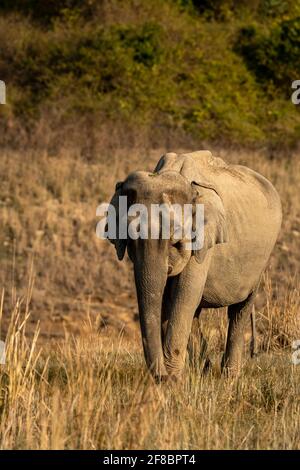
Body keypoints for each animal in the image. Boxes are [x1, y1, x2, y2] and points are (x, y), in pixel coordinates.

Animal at [106, 151, 282, 382]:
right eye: (130, 240)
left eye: (175, 241)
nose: (161, 377)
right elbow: (171, 299)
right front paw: (177, 378)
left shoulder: (204, 241)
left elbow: (185, 294)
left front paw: (173, 380)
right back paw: (204, 369)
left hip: (261, 260)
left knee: (240, 308)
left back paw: (229, 377)